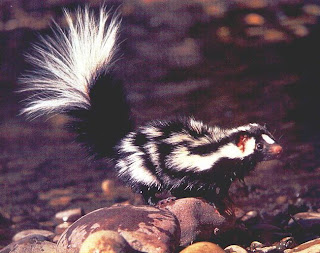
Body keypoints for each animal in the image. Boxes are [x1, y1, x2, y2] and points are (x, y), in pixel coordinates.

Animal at [19, 5, 282, 211]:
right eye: (259, 146)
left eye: (271, 138)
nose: (280, 149)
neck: (218, 149)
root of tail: (122, 141)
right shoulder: (196, 169)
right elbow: (202, 187)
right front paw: (216, 203)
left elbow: (223, 186)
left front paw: (227, 201)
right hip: (141, 166)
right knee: (145, 186)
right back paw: (158, 202)